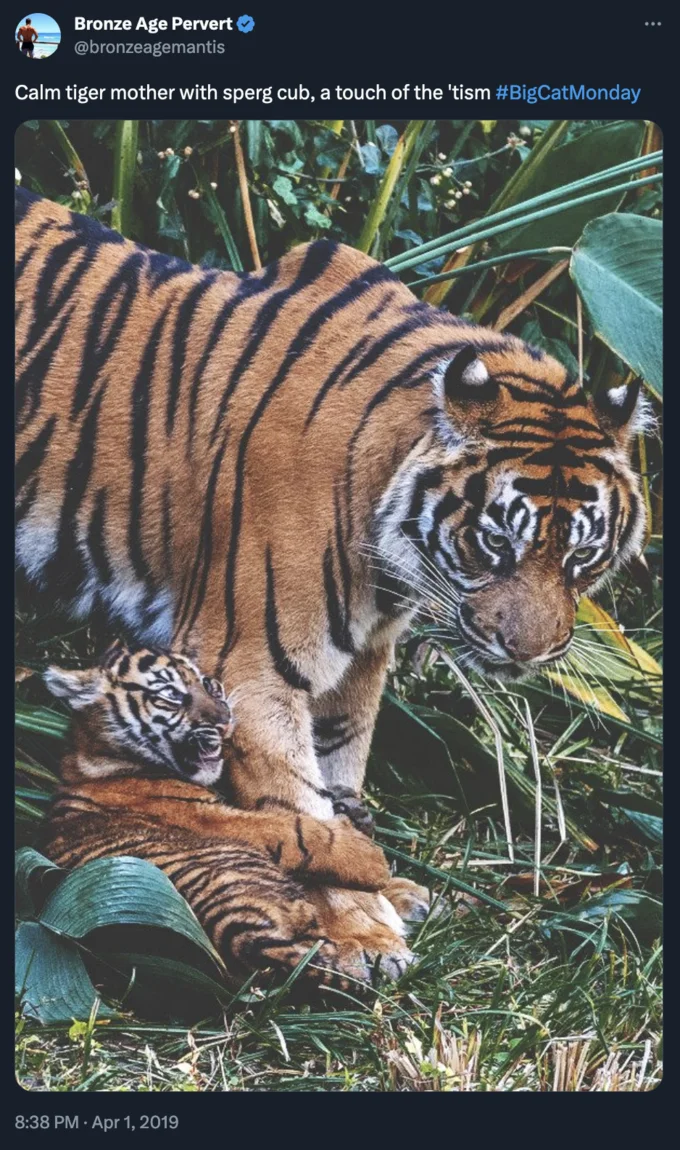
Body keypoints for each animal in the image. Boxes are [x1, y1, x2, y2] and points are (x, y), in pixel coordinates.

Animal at [40, 641, 419, 987]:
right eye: (172, 696)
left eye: (210, 686)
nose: (225, 721)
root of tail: (243, 937)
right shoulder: (214, 817)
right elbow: (296, 830)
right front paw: (372, 859)